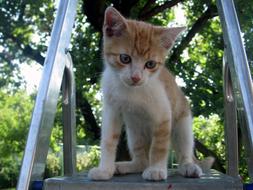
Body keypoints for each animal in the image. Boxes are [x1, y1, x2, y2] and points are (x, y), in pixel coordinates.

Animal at [88, 6, 212, 181]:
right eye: (124, 58)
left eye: (150, 64)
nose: (136, 77)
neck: (131, 91)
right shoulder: (111, 110)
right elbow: (108, 140)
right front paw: (104, 170)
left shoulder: (164, 114)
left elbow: (159, 146)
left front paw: (156, 170)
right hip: (134, 132)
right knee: (142, 160)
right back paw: (124, 166)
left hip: (183, 124)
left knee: (184, 149)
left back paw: (189, 166)